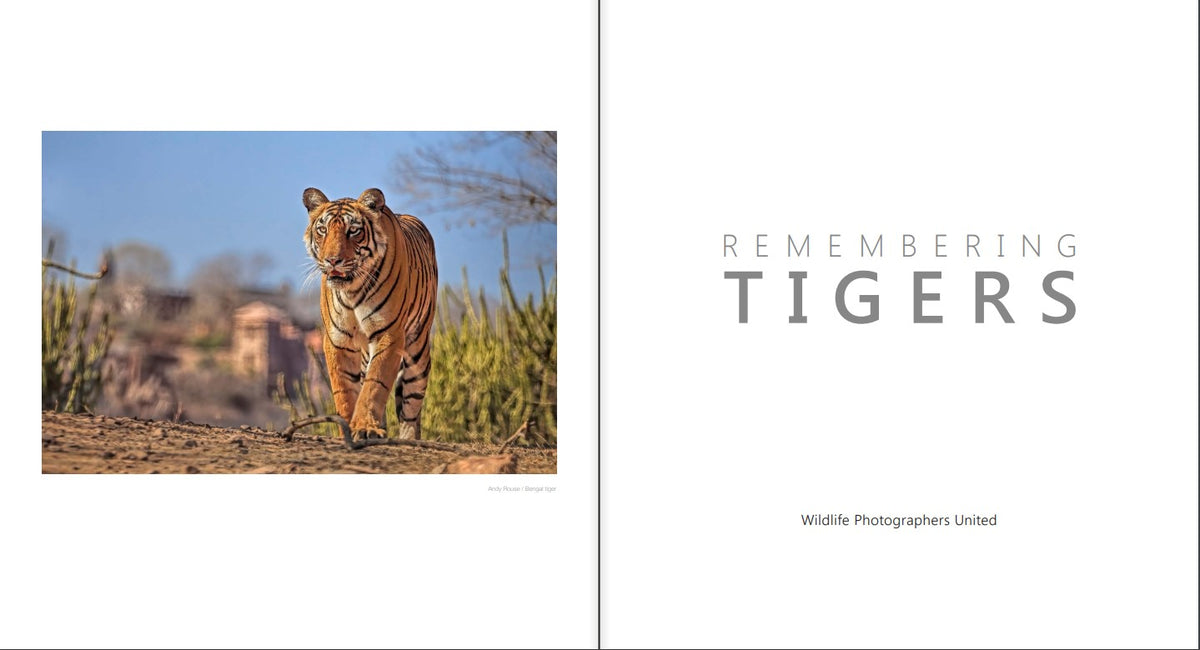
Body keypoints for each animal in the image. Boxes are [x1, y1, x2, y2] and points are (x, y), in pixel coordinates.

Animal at [302, 187, 438, 441]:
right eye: (323, 230)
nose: (332, 260)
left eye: (353, 230)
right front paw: (348, 428)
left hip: (418, 351)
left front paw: (365, 427)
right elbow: (344, 389)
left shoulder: (389, 334)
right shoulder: (337, 339)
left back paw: (406, 438)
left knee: (411, 407)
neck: (352, 290)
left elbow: (375, 384)